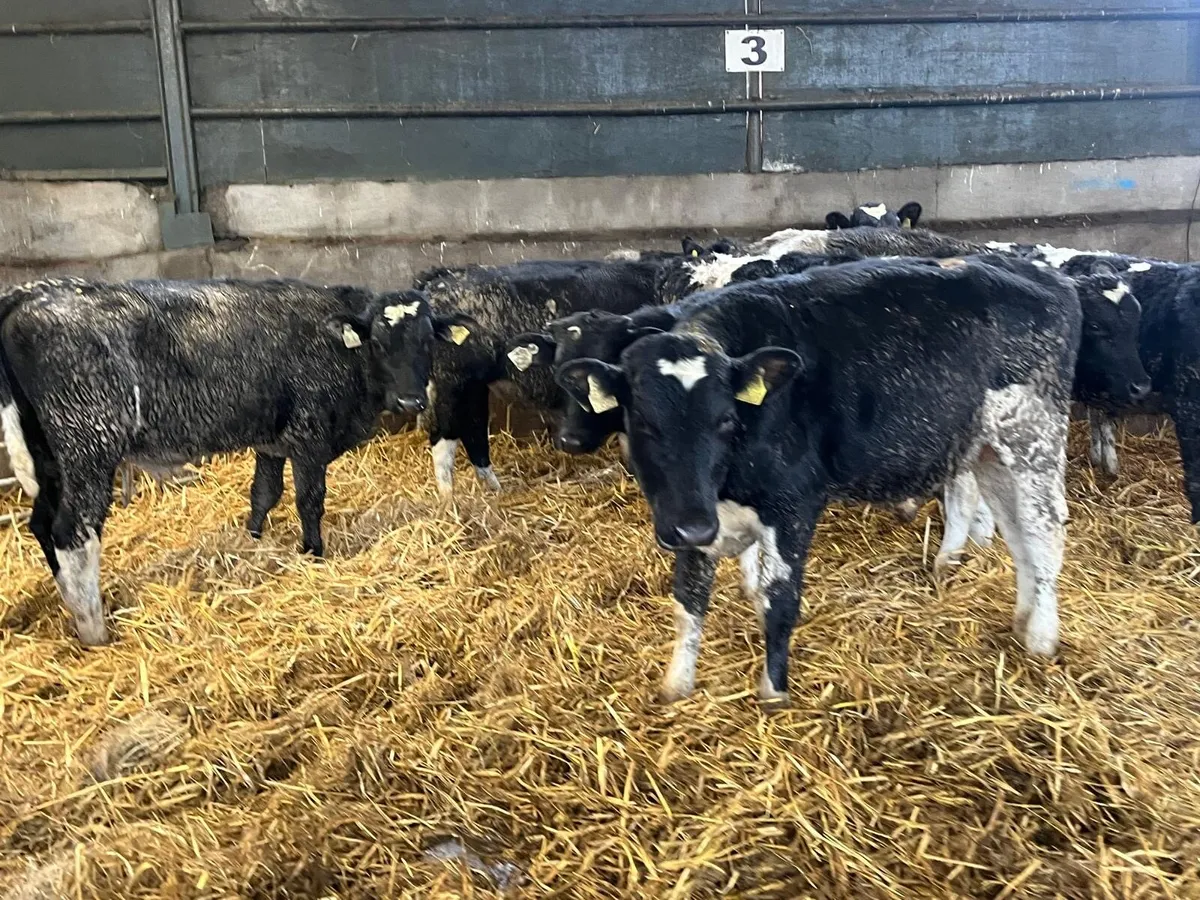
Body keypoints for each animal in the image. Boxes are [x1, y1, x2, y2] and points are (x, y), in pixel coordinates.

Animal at [0, 277, 472, 645]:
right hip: (88, 447)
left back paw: (71, 605)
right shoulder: (309, 437)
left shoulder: (273, 442)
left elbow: (264, 493)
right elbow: (309, 501)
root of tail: (34, 290)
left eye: (427, 340)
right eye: (378, 340)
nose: (410, 401)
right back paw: (94, 629)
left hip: (50, 459)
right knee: (73, 533)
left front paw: (253, 542)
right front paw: (314, 555)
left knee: (42, 524)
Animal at [555, 257, 1085, 706]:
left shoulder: (791, 503)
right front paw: (676, 687)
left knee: (1044, 533)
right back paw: (1022, 620)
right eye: (644, 422)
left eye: (725, 419)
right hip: (987, 450)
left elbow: (779, 598)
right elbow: (689, 599)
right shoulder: (692, 512)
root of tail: (1043, 275)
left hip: (1033, 437)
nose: (693, 526)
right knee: (1016, 535)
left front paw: (773, 693)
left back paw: (1042, 638)